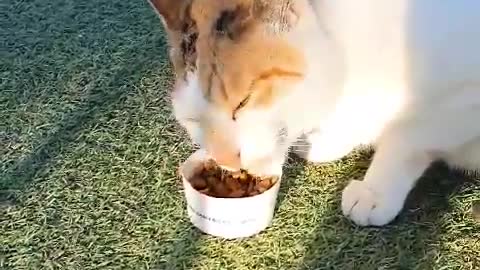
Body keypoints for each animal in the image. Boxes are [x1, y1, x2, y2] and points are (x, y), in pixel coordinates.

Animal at [149, 0, 480, 227]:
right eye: (193, 121)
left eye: (243, 102)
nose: (228, 161)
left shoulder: (461, 97)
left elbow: (406, 136)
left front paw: (375, 190)